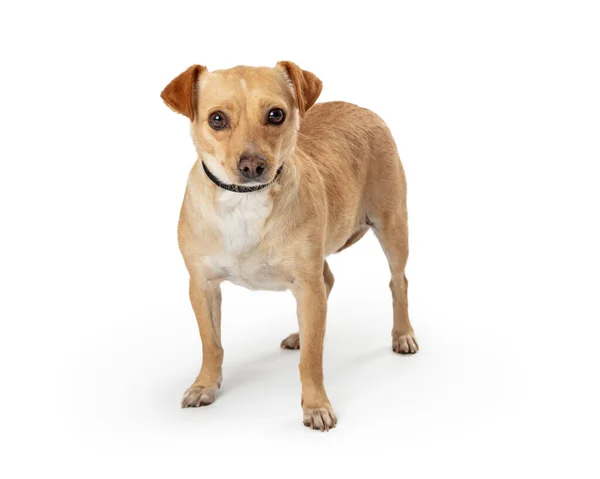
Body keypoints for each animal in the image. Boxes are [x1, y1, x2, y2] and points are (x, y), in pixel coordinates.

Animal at [162, 61, 420, 432]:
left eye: (276, 114)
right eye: (217, 119)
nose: (252, 165)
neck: (245, 204)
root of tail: (362, 108)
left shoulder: (306, 286)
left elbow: (312, 359)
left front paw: (316, 405)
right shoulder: (202, 285)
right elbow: (211, 343)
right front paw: (205, 385)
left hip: (393, 229)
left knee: (398, 282)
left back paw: (402, 334)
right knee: (329, 281)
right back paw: (301, 334)